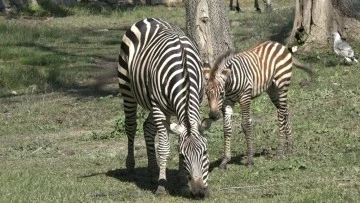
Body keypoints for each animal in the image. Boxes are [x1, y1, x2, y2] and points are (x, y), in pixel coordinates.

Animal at [118, 17, 208, 198]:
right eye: (184, 156)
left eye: (204, 153)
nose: (199, 192)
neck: (184, 73)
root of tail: (148, 18)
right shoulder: (159, 107)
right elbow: (164, 147)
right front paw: (161, 185)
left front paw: (182, 183)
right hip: (128, 90)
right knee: (131, 126)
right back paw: (131, 166)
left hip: (156, 104)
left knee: (148, 127)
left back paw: (153, 171)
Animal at [202, 40, 312, 169]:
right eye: (206, 93)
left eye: (221, 93)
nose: (213, 116)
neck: (230, 83)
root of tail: (280, 45)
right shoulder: (227, 102)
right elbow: (227, 128)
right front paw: (225, 161)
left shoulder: (245, 97)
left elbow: (245, 125)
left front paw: (250, 159)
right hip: (272, 89)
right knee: (285, 110)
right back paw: (290, 147)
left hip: (282, 85)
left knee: (281, 114)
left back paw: (280, 152)